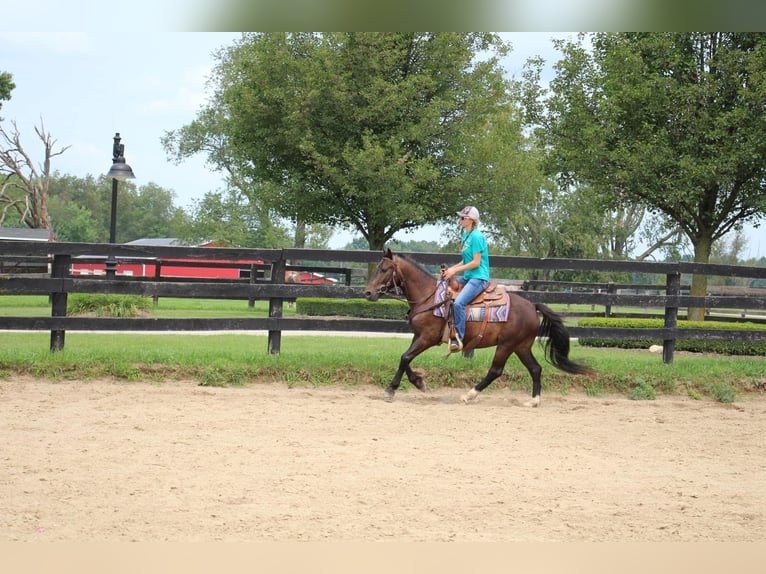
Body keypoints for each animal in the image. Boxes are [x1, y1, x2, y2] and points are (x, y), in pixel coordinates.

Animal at [364, 250, 596, 408]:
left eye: (383, 269)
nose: (367, 293)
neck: (429, 297)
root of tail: (532, 306)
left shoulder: (428, 338)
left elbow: (404, 357)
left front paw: (391, 389)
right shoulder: (418, 336)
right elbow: (406, 359)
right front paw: (418, 382)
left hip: (507, 345)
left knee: (496, 371)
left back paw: (469, 395)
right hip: (522, 346)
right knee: (535, 369)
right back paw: (533, 401)